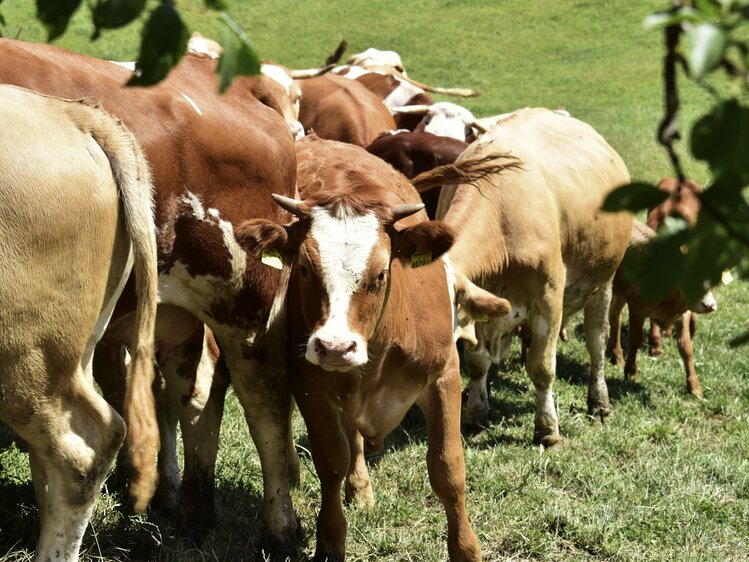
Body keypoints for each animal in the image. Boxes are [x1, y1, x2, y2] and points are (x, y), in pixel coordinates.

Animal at [241, 135, 508, 560]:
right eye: (304, 269)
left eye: (381, 274)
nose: (336, 347)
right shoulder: (311, 387)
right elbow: (330, 462)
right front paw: (330, 539)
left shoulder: (444, 377)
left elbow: (448, 468)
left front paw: (466, 548)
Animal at [410, 107, 632, 442]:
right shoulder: (480, 305)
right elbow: (477, 363)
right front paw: (476, 415)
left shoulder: (548, 301)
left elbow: (542, 368)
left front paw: (548, 430)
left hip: (603, 281)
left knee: (597, 342)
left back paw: (599, 402)